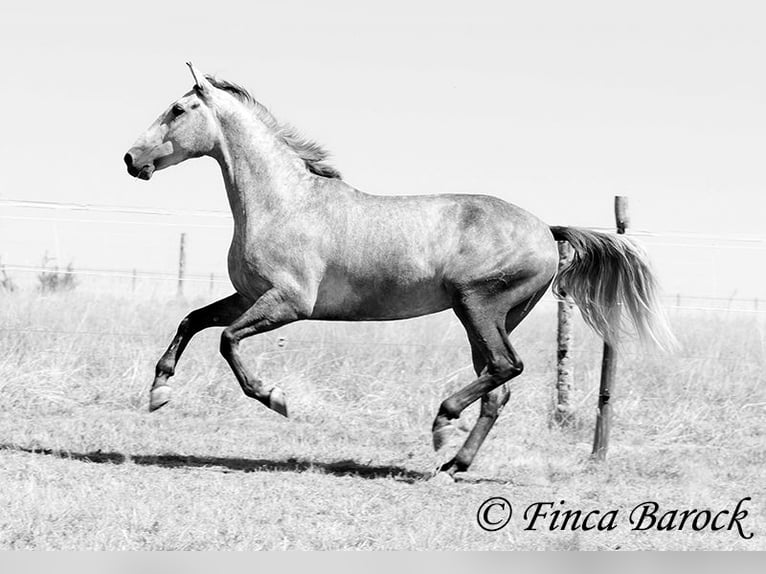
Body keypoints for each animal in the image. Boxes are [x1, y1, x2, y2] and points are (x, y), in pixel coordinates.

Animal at [124, 63, 673, 479]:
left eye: (177, 109)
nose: (131, 159)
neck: (285, 203)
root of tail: (546, 229)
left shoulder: (287, 303)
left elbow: (227, 341)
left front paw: (275, 399)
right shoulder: (247, 296)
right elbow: (193, 321)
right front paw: (159, 392)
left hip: (477, 305)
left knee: (505, 368)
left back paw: (442, 425)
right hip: (492, 317)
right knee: (498, 389)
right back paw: (453, 465)